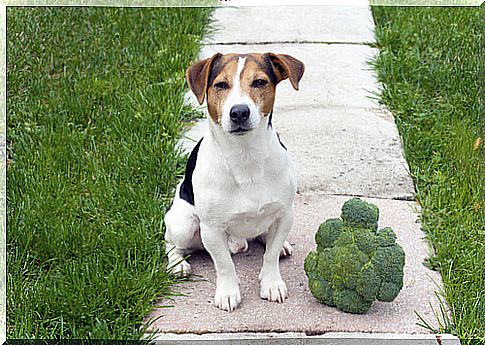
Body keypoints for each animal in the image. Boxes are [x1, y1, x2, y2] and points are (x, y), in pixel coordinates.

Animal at [164, 51, 304, 312]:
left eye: (259, 82)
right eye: (220, 85)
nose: (239, 112)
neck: (245, 156)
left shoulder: (285, 214)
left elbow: (270, 256)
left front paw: (271, 283)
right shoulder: (211, 228)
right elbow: (224, 265)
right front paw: (228, 292)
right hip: (183, 225)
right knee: (170, 244)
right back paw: (177, 264)